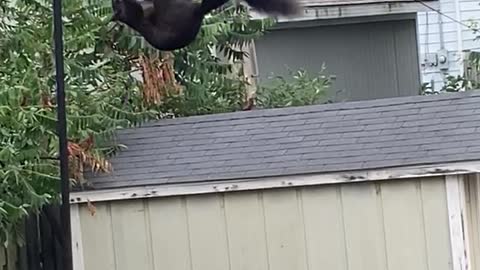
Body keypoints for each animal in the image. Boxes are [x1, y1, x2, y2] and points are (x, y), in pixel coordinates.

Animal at [111, 0, 302, 51]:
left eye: (115, 5)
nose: (115, 5)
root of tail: (197, 12)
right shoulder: (135, 15)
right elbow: (135, 10)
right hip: (171, 10)